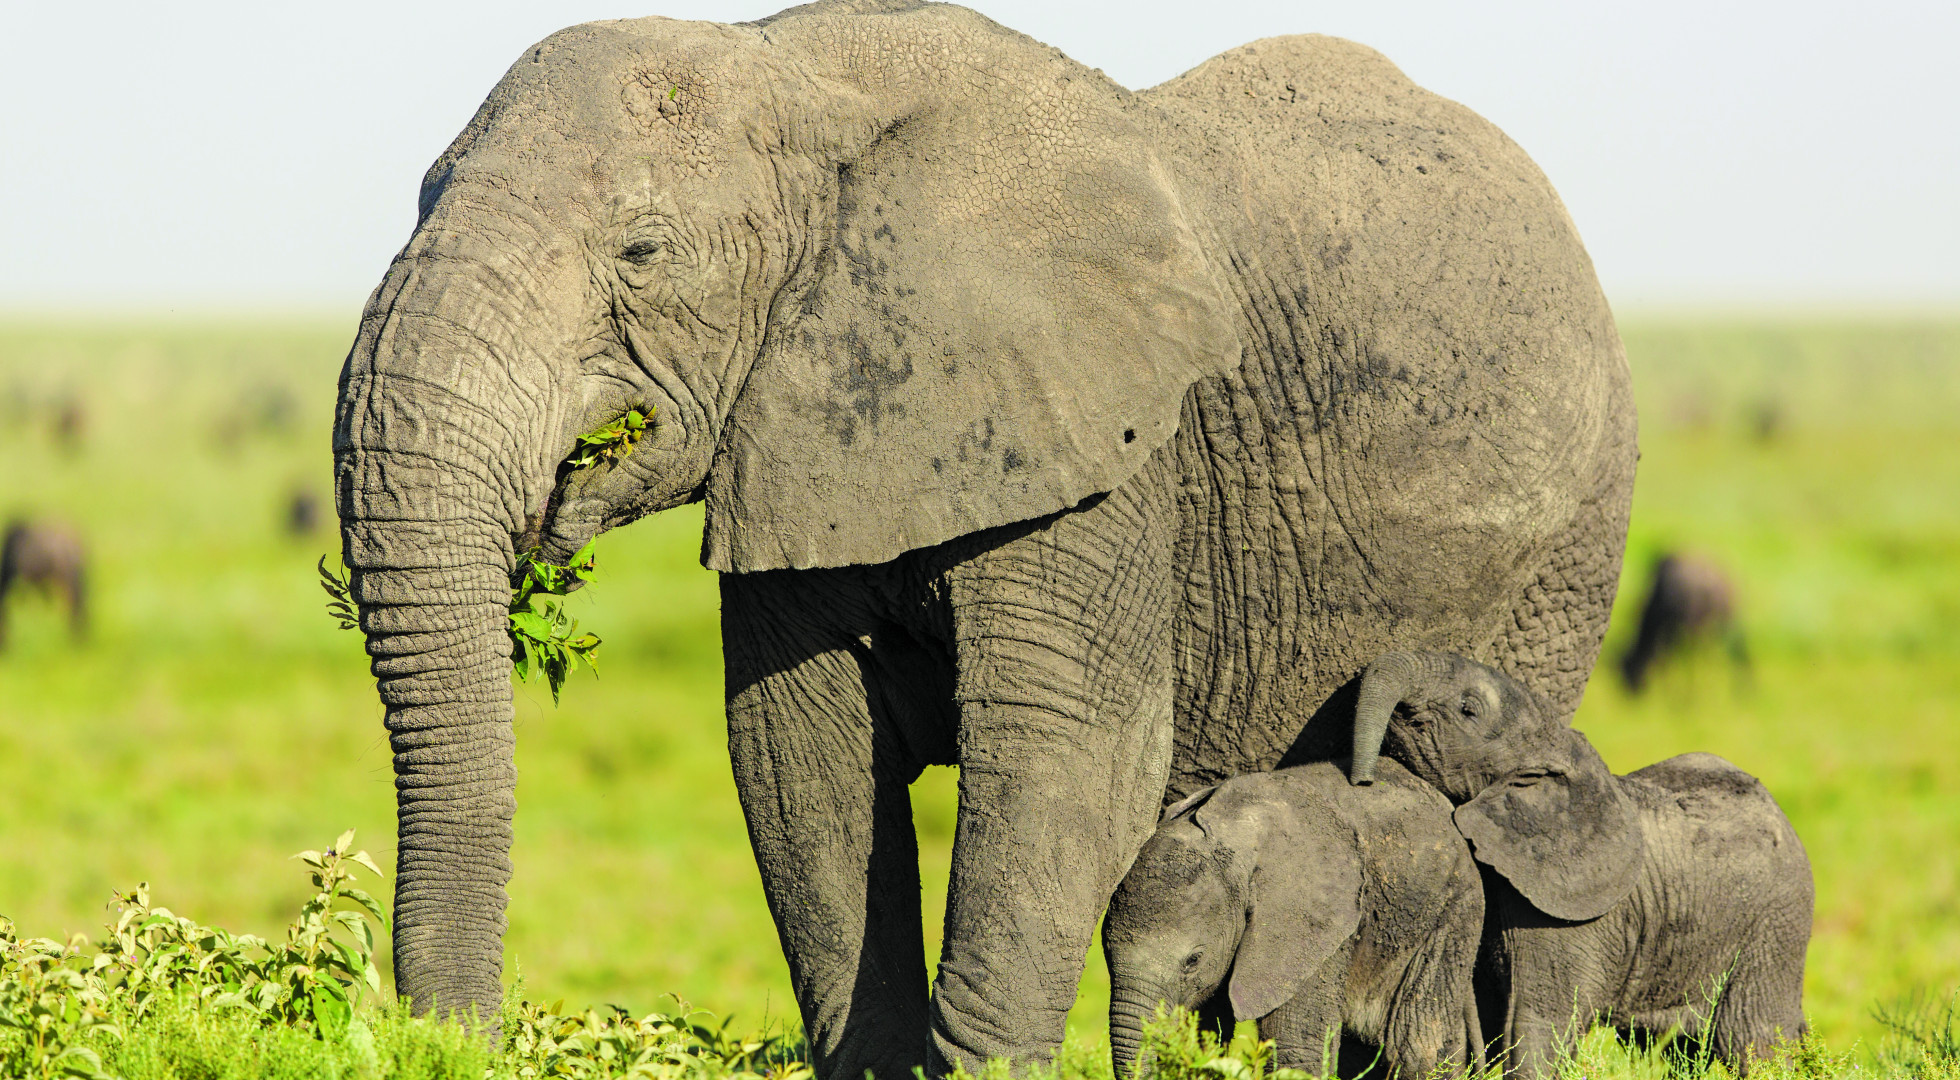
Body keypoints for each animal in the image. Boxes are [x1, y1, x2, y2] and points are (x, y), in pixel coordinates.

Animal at [1103, 758, 1484, 1078]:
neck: (1235, 834)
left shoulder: (1316, 923)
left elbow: (1293, 1046)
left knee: (1417, 1043)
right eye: (1106, 954)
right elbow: (1210, 1035)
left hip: (1452, 911)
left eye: (1192, 961)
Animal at [1347, 651, 1811, 1077]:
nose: (1362, 780)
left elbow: (1534, 1025)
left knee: (1755, 1039)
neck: (1556, 748)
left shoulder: (1568, 923)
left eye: (1468, 709)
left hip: (1775, 929)